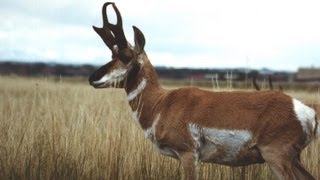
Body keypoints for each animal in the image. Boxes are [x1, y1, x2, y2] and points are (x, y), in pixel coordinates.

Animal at [89, 2, 320, 179]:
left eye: (125, 56)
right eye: (112, 54)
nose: (93, 78)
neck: (162, 103)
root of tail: (305, 110)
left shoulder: (188, 154)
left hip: (276, 156)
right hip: (292, 159)